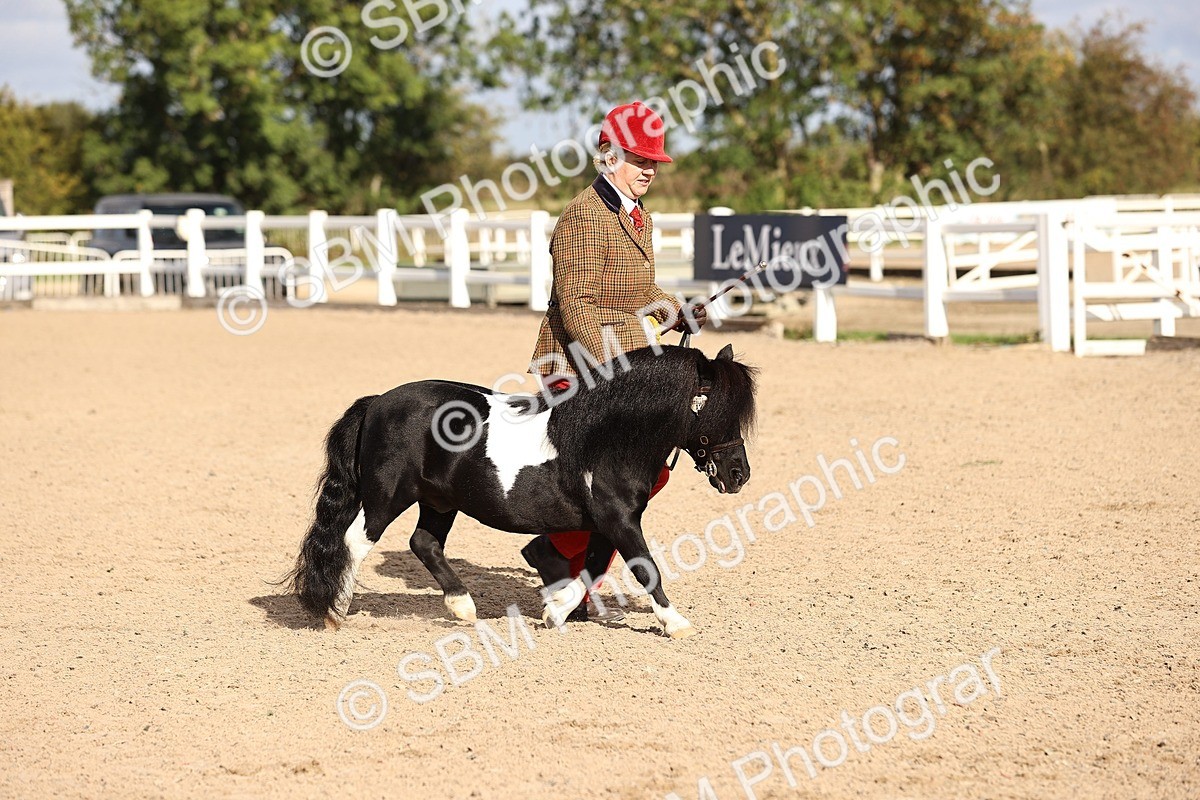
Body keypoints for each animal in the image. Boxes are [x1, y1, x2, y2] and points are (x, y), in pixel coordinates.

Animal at [286, 343, 757, 638]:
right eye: (715, 409)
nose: (739, 475)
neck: (607, 437)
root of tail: (379, 402)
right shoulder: (618, 519)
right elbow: (646, 568)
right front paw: (676, 623)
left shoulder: (608, 522)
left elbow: (592, 567)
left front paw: (555, 611)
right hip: (388, 496)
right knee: (354, 541)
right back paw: (335, 612)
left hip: (439, 500)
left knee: (423, 542)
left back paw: (463, 607)